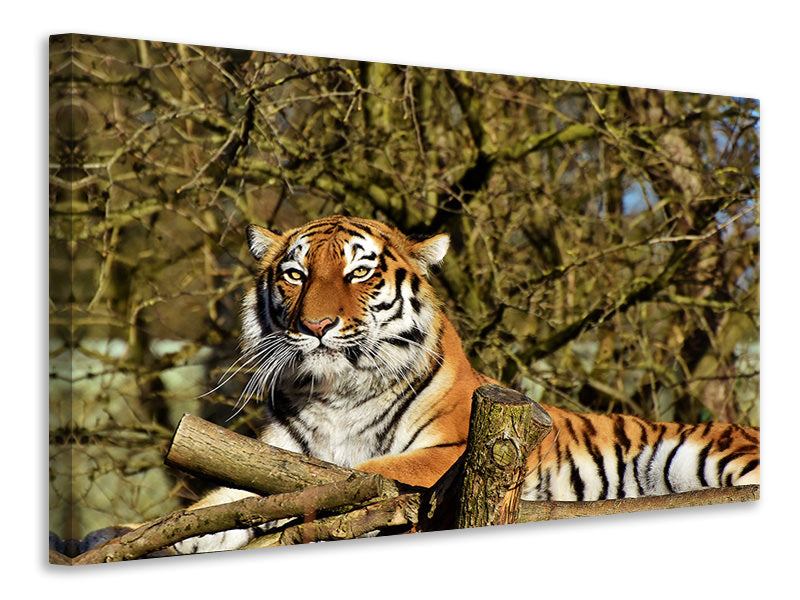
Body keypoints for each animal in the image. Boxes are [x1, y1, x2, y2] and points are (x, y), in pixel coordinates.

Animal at [174, 215, 759, 553]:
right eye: (295, 275)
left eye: (358, 272)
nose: (316, 326)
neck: (336, 394)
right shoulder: (270, 452)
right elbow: (225, 496)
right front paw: (189, 530)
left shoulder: (447, 453)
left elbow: (356, 477)